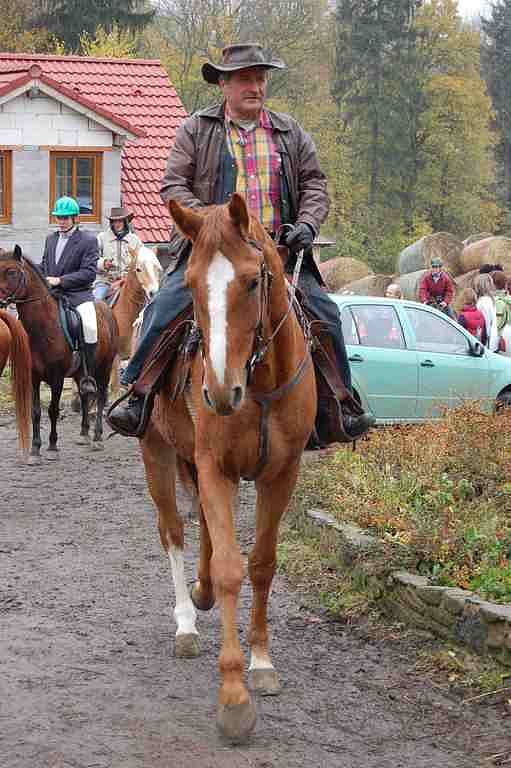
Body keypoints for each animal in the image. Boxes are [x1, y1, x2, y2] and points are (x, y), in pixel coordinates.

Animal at [0, 249, 119, 460]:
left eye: (12, 272)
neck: (42, 328)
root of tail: (106, 308)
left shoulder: (57, 378)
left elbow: (53, 410)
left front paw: (52, 447)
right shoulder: (33, 377)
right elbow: (36, 412)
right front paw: (35, 449)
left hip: (104, 367)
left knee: (101, 396)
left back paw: (96, 437)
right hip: (81, 373)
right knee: (85, 396)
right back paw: (83, 434)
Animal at [138, 195, 318, 740]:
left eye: (253, 281)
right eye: (193, 284)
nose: (218, 392)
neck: (259, 384)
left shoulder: (280, 474)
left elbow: (260, 564)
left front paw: (261, 663)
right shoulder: (215, 467)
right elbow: (229, 568)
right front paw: (235, 696)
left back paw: (199, 598)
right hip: (157, 453)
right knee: (174, 531)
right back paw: (186, 621)